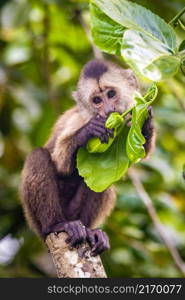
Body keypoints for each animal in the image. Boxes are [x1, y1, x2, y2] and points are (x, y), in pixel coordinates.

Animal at [20, 60, 155, 255]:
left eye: (111, 94)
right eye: (97, 100)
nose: (109, 110)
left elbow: (137, 152)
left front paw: (144, 119)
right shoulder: (77, 120)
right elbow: (61, 164)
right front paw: (87, 132)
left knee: (103, 180)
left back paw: (90, 231)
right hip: (36, 221)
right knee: (38, 156)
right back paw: (56, 225)